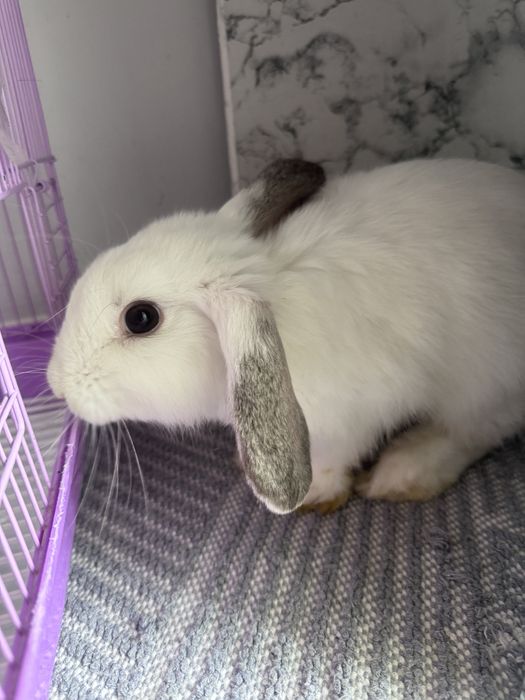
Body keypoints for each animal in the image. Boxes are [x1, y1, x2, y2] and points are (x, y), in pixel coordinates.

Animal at [47, 157, 525, 515]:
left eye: (141, 318)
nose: (57, 384)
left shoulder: (353, 415)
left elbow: (333, 458)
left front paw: (314, 493)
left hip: (485, 384)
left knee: (474, 431)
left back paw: (404, 471)